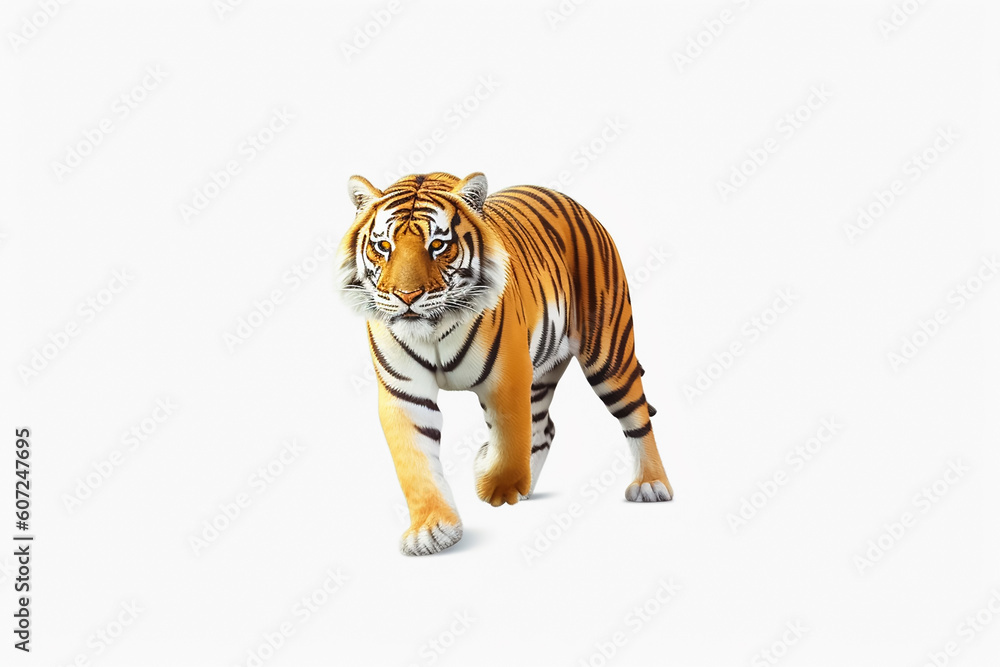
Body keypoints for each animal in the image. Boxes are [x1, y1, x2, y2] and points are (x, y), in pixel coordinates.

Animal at [336, 171, 673, 556]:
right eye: (383, 246)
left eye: (437, 245)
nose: (406, 297)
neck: (433, 330)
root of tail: (573, 202)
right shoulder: (404, 394)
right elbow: (415, 465)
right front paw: (431, 531)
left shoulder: (507, 376)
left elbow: (510, 439)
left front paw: (495, 485)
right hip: (542, 372)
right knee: (544, 428)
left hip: (607, 354)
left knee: (636, 415)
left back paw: (651, 485)